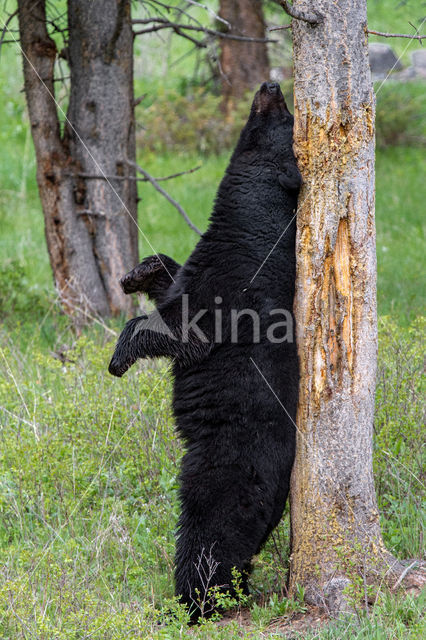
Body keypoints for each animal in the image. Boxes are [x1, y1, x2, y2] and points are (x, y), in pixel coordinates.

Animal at [110, 82, 302, 616]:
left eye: (283, 118)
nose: (271, 85)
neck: (248, 228)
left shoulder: (232, 286)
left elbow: (182, 329)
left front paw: (117, 357)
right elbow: (170, 280)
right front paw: (136, 273)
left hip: (221, 473)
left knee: (209, 535)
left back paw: (193, 601)